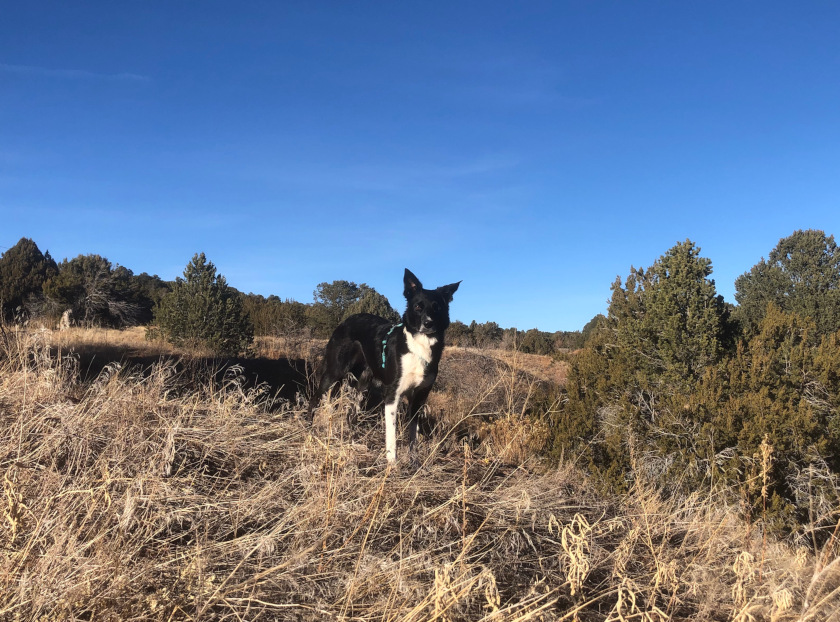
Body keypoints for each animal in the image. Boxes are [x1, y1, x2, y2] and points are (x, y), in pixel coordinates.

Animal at [312, 270, 462, 466]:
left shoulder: (419, 396)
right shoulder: (392, 394)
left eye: (437, 308)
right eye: (418, 307)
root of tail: (346, 320)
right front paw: (392, 462)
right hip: (334, 372)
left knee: (351, 412)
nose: (428, 323)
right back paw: (309, 430)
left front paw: (414, 462)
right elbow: (392, 435)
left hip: (361, 385)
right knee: (315, 399)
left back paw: (354, 441)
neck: (419, 346)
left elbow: (413, 434)